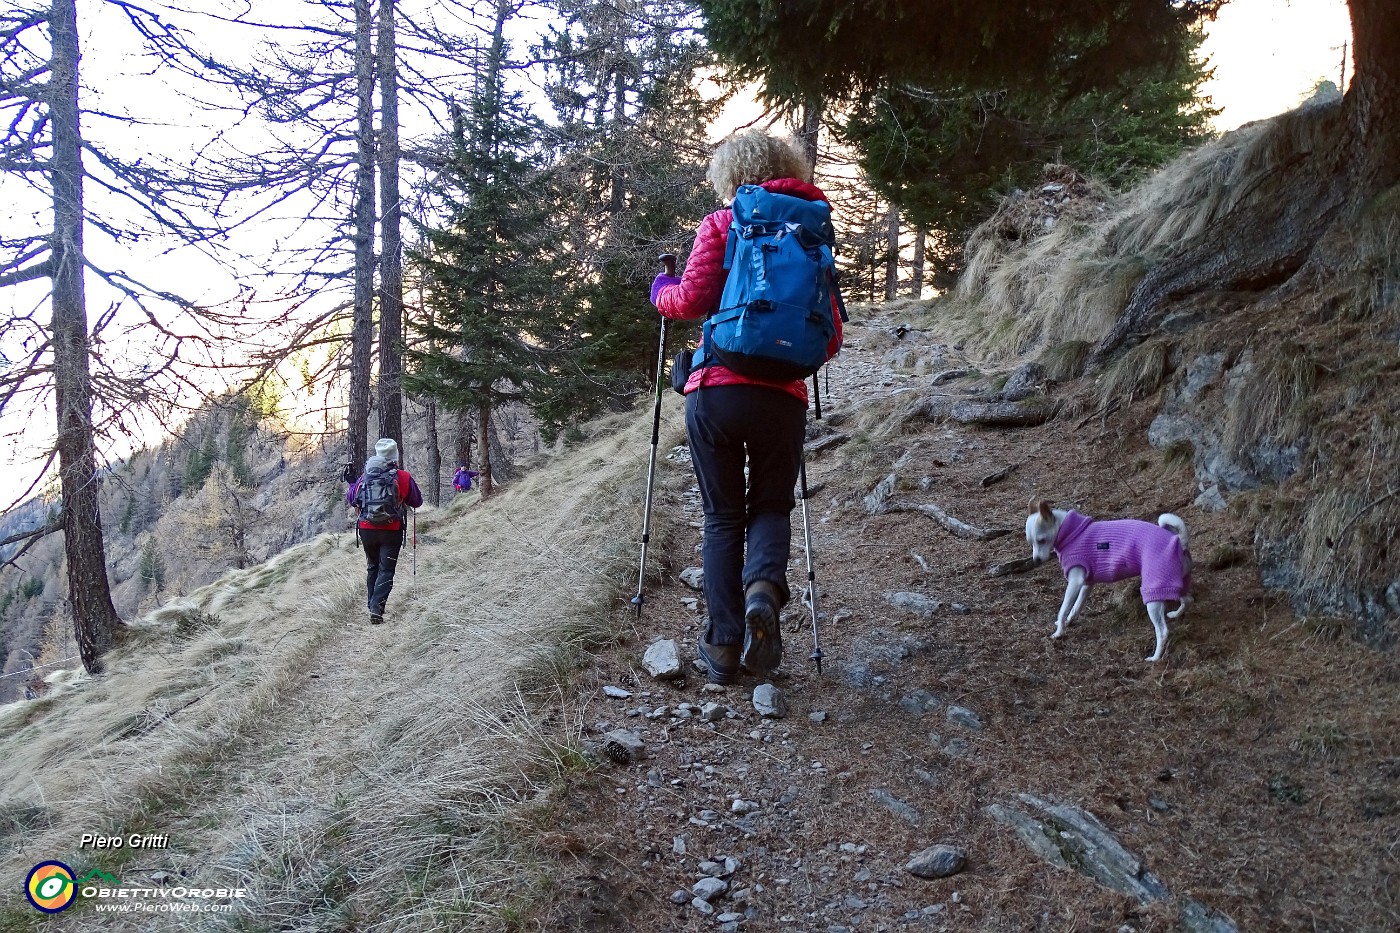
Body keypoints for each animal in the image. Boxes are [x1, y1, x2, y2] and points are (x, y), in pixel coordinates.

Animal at [1030, 498, 1192, 658]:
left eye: (1041, 540)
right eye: (1031, 542)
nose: (1036, 560)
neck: (1069, 533)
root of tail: (1179, 541)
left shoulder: (1075, 583)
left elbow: (1063, 609)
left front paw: (1059, 632)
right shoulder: (1086, 584)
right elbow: (1076, 607)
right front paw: (1068, 621)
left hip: (1153, 592)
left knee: (1162, 631)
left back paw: (1155, 657)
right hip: (1174, 583)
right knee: (1187, 599)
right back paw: (1176, 614)